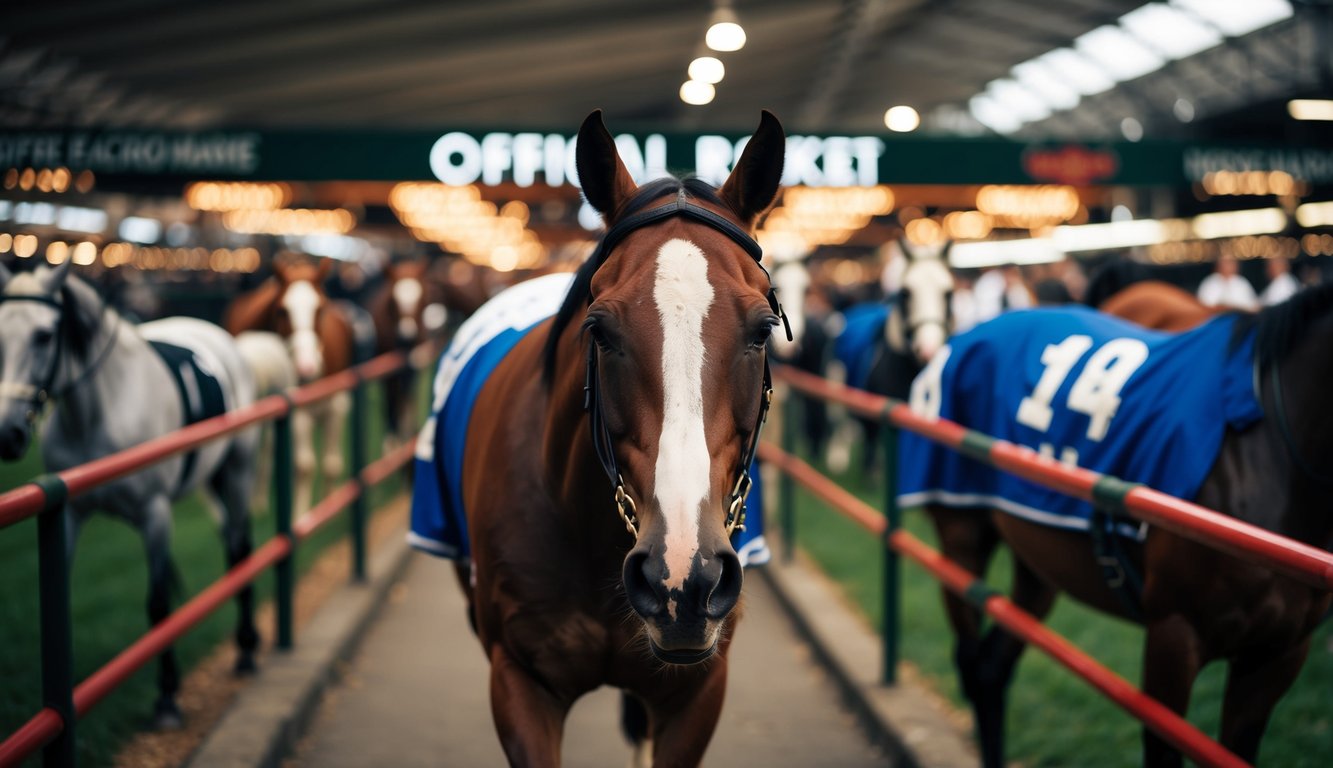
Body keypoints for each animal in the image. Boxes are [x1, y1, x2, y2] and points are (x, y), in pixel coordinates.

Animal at [0, 261, 262, 730]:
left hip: (237, 470)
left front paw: (168, 698)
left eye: (44, 335)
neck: (99, 412)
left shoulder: (154, 514)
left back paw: (247, 648)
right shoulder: (67, 515)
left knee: (240, 549)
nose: (7, 434)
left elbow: (158, 606)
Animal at [225, 260, 359, 517]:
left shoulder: (337, 405)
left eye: (321, 310)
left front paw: (331, 504)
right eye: (282, 311)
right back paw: (258, 499)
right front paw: (302, 516)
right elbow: (304, 466)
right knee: (267, 447)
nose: (306, 367)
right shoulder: (298, 412)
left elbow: (332, 463)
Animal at [906, 285, 1333, 762]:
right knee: (969, 656)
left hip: (1038, 563)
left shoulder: (1278, 655)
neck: (1267, 451)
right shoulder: (1173, 636)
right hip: (962, 541)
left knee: (991, 668)